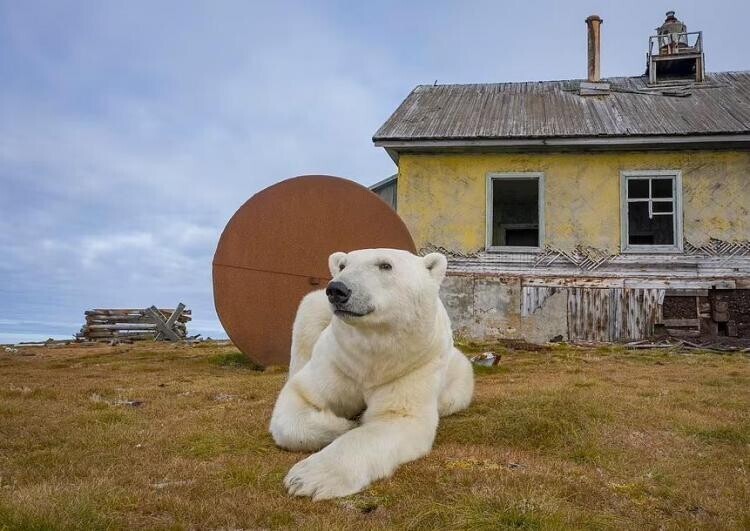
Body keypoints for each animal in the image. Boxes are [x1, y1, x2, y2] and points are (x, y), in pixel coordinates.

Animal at [268, 248, 472, 498]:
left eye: (385, 265)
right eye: (343, 265)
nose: (337, 290)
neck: (371, 358)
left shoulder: (413, 366)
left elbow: (397, 416)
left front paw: (308, 477)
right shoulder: (339, 361)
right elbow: (300, 398)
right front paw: (342, 425)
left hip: (459, 375)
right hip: (315, 310)